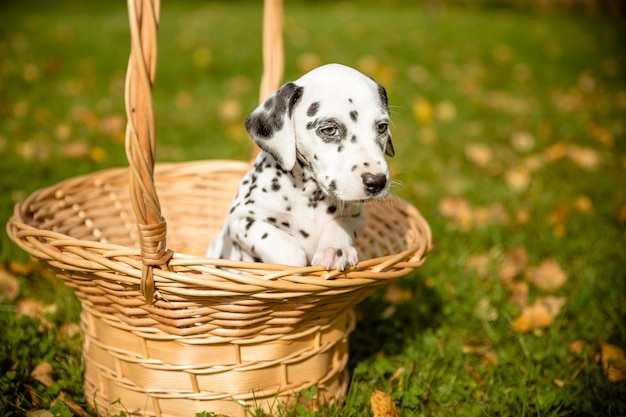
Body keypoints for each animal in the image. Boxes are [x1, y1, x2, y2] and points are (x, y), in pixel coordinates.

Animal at [207, 61, 392, 270]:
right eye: (329, 129)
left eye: (382, 127)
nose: (377, 182)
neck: (309, 195)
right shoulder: (242, 220)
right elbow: (287, 247)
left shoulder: (356, 217)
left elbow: (339, 226)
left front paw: (334, 250)